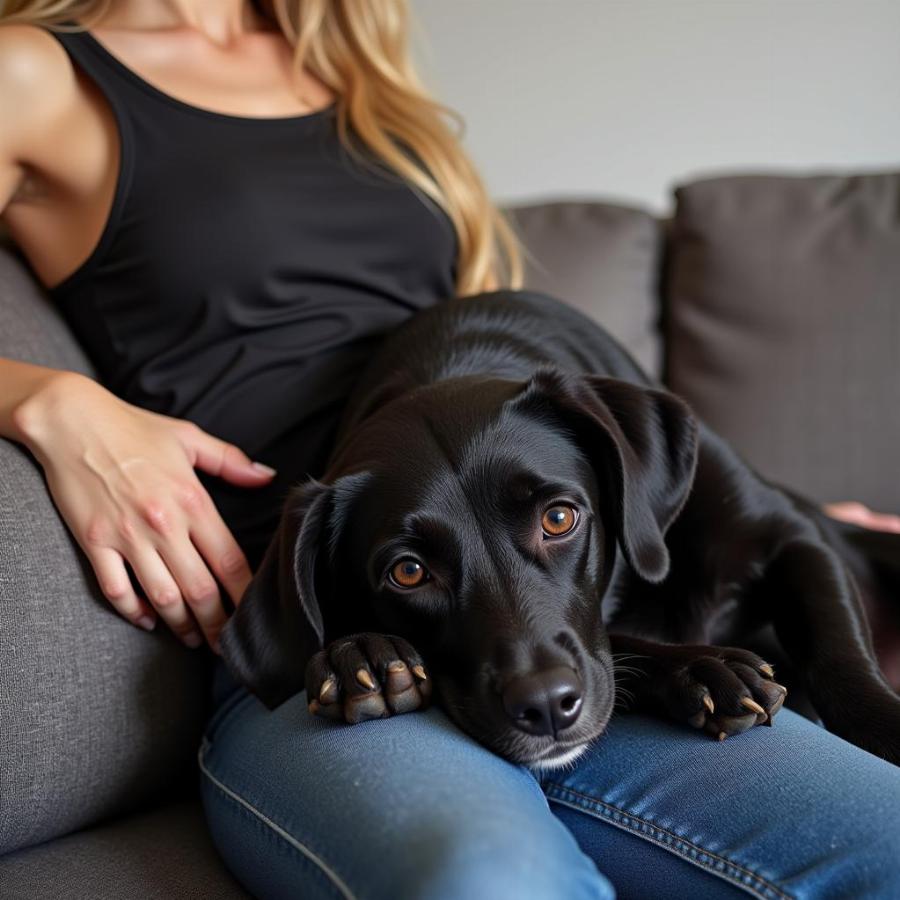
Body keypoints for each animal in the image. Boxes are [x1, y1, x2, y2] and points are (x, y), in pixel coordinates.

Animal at [218, 292, 900, 768]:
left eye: (559, 518)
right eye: (408, 572)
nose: (545, 704)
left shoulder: (793, 539)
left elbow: (840, 663)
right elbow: (621, 642)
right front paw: (358, 652)